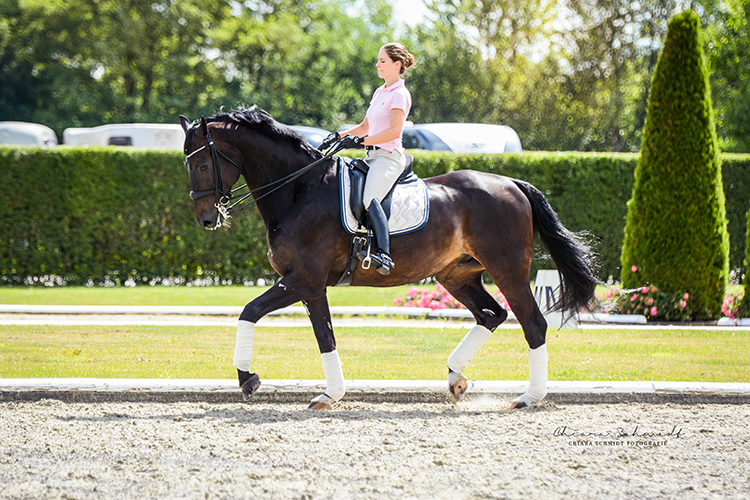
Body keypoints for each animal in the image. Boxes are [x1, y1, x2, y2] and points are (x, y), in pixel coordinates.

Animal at [180, 107, 598, 410]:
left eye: (201, 164)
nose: (206, 219)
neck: (300, 189)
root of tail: (512, 183)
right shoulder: (312, 287)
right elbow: (325, 337)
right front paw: (330, 394)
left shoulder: (303, 279)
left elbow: (249, 311)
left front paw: (247, 378)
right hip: (456, 275)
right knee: (491, 314)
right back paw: (456, 379)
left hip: (507, 269)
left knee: (533, 324)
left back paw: (529, 397)